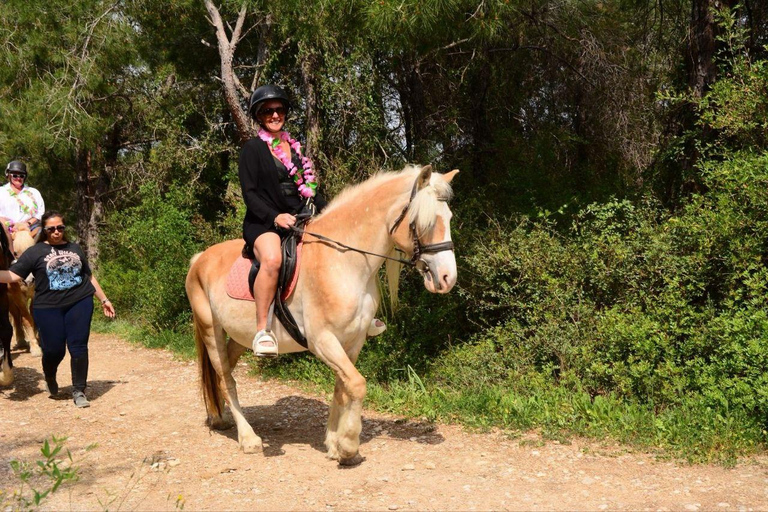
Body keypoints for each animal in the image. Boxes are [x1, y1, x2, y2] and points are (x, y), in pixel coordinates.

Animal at [186, 164, 458, 464]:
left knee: (223, 373)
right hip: (211, 330)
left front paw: (333, 443)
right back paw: (248, 438)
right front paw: (348, 445)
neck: (344, 260)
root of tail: (199, 258)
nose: (448, 278)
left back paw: (219, 416)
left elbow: (343, 387)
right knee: (226, 380)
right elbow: (357, 384)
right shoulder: (322, 341)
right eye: (426, 222)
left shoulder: (353, 341)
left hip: (239, 337)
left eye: (449, 217)